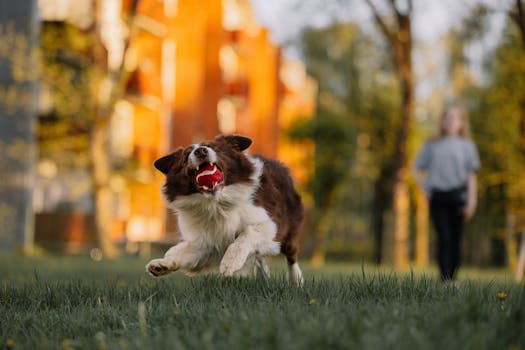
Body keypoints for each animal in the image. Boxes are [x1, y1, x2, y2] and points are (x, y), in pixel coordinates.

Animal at [146, 134, 302, 284]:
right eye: (186, 156)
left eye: (213, 147)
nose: (200, 151)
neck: (216, 203)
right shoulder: (207, 241)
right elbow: (185, 250)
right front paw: (162, 264)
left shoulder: (271, 222)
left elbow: (248, 232)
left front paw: (230, 261)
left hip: (290, 227)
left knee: (291, 256)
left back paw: (296, 281)